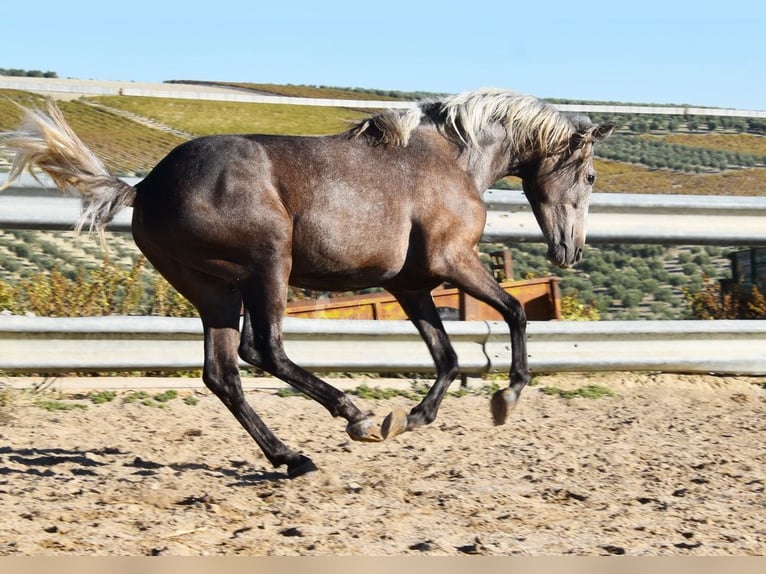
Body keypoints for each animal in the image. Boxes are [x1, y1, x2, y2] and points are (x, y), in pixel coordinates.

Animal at [0, 89, 612, 476]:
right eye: (589, 175)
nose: (571, 251)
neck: (453, 159)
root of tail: (144, 187)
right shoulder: (453, 262)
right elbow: (513, 312)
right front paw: (506, 396)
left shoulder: (410, 285)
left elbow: (447, 356)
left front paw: (411, 419)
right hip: (269, 264)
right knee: (263, 350)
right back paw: (353, 416)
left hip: (212, 290)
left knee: (223, 373)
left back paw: (293, 458)